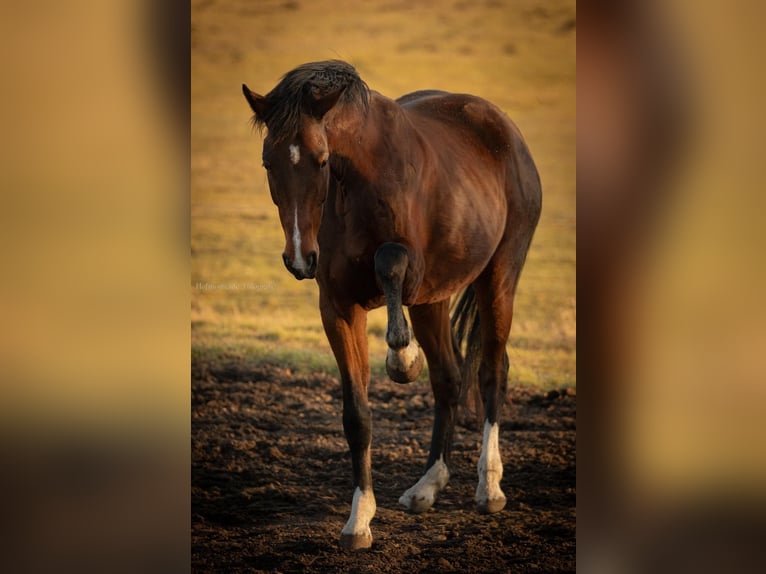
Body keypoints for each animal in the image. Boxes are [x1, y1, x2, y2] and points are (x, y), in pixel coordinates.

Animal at [242, 60, 541, 550]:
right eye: (269, 162)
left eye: (321, 160)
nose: (300, 258)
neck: (356, 181)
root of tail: (504, 129)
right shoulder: (338, 307)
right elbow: (357, 416)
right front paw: (359, 519)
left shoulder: (411, 269)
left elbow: (389, 261)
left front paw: (402, 357)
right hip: (434, 299)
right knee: (448, 379)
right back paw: (428, 485)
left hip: (498, 277)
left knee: (491, 374)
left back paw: (490, 487)